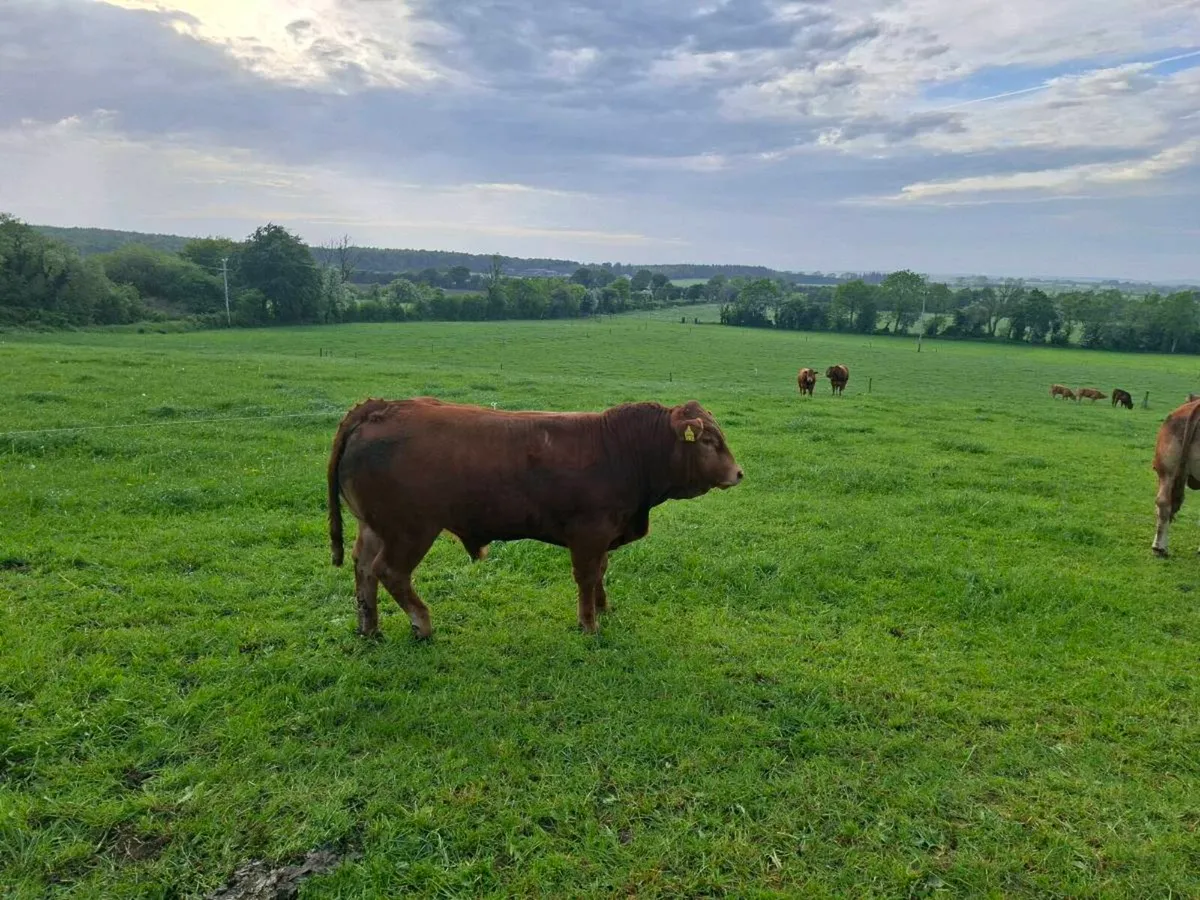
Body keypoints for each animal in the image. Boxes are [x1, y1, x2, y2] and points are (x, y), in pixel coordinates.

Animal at [327, 397, 743, 638]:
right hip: (410, 529)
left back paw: (368, 627)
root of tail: (382, 408)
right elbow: (587, 576)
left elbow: (601, 571)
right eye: (709, 441)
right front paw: (589, 624)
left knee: (364, 568)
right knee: (390, 572)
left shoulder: (604, 536)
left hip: (375, 526)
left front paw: (604, 608)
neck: (623, 450)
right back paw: (422, 623)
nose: (738, 473)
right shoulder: (589, 533)